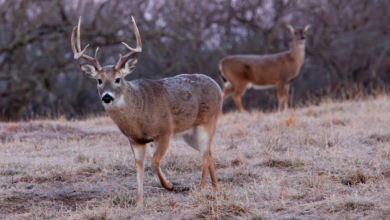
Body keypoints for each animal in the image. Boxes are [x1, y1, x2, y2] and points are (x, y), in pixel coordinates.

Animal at [71, 16, 221, 205]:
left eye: (118, 79)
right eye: (99, 80)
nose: (107, 97)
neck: (139, 114)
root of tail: (218, 87)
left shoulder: (165, 129)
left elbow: (155, 161)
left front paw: (169, 186)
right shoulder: (135, 139)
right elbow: (139, 167)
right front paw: (139, 202)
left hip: (207, 121)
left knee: (205, 154)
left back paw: (201, 190)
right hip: (189, 133)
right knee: (208, 152)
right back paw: (216, 189)